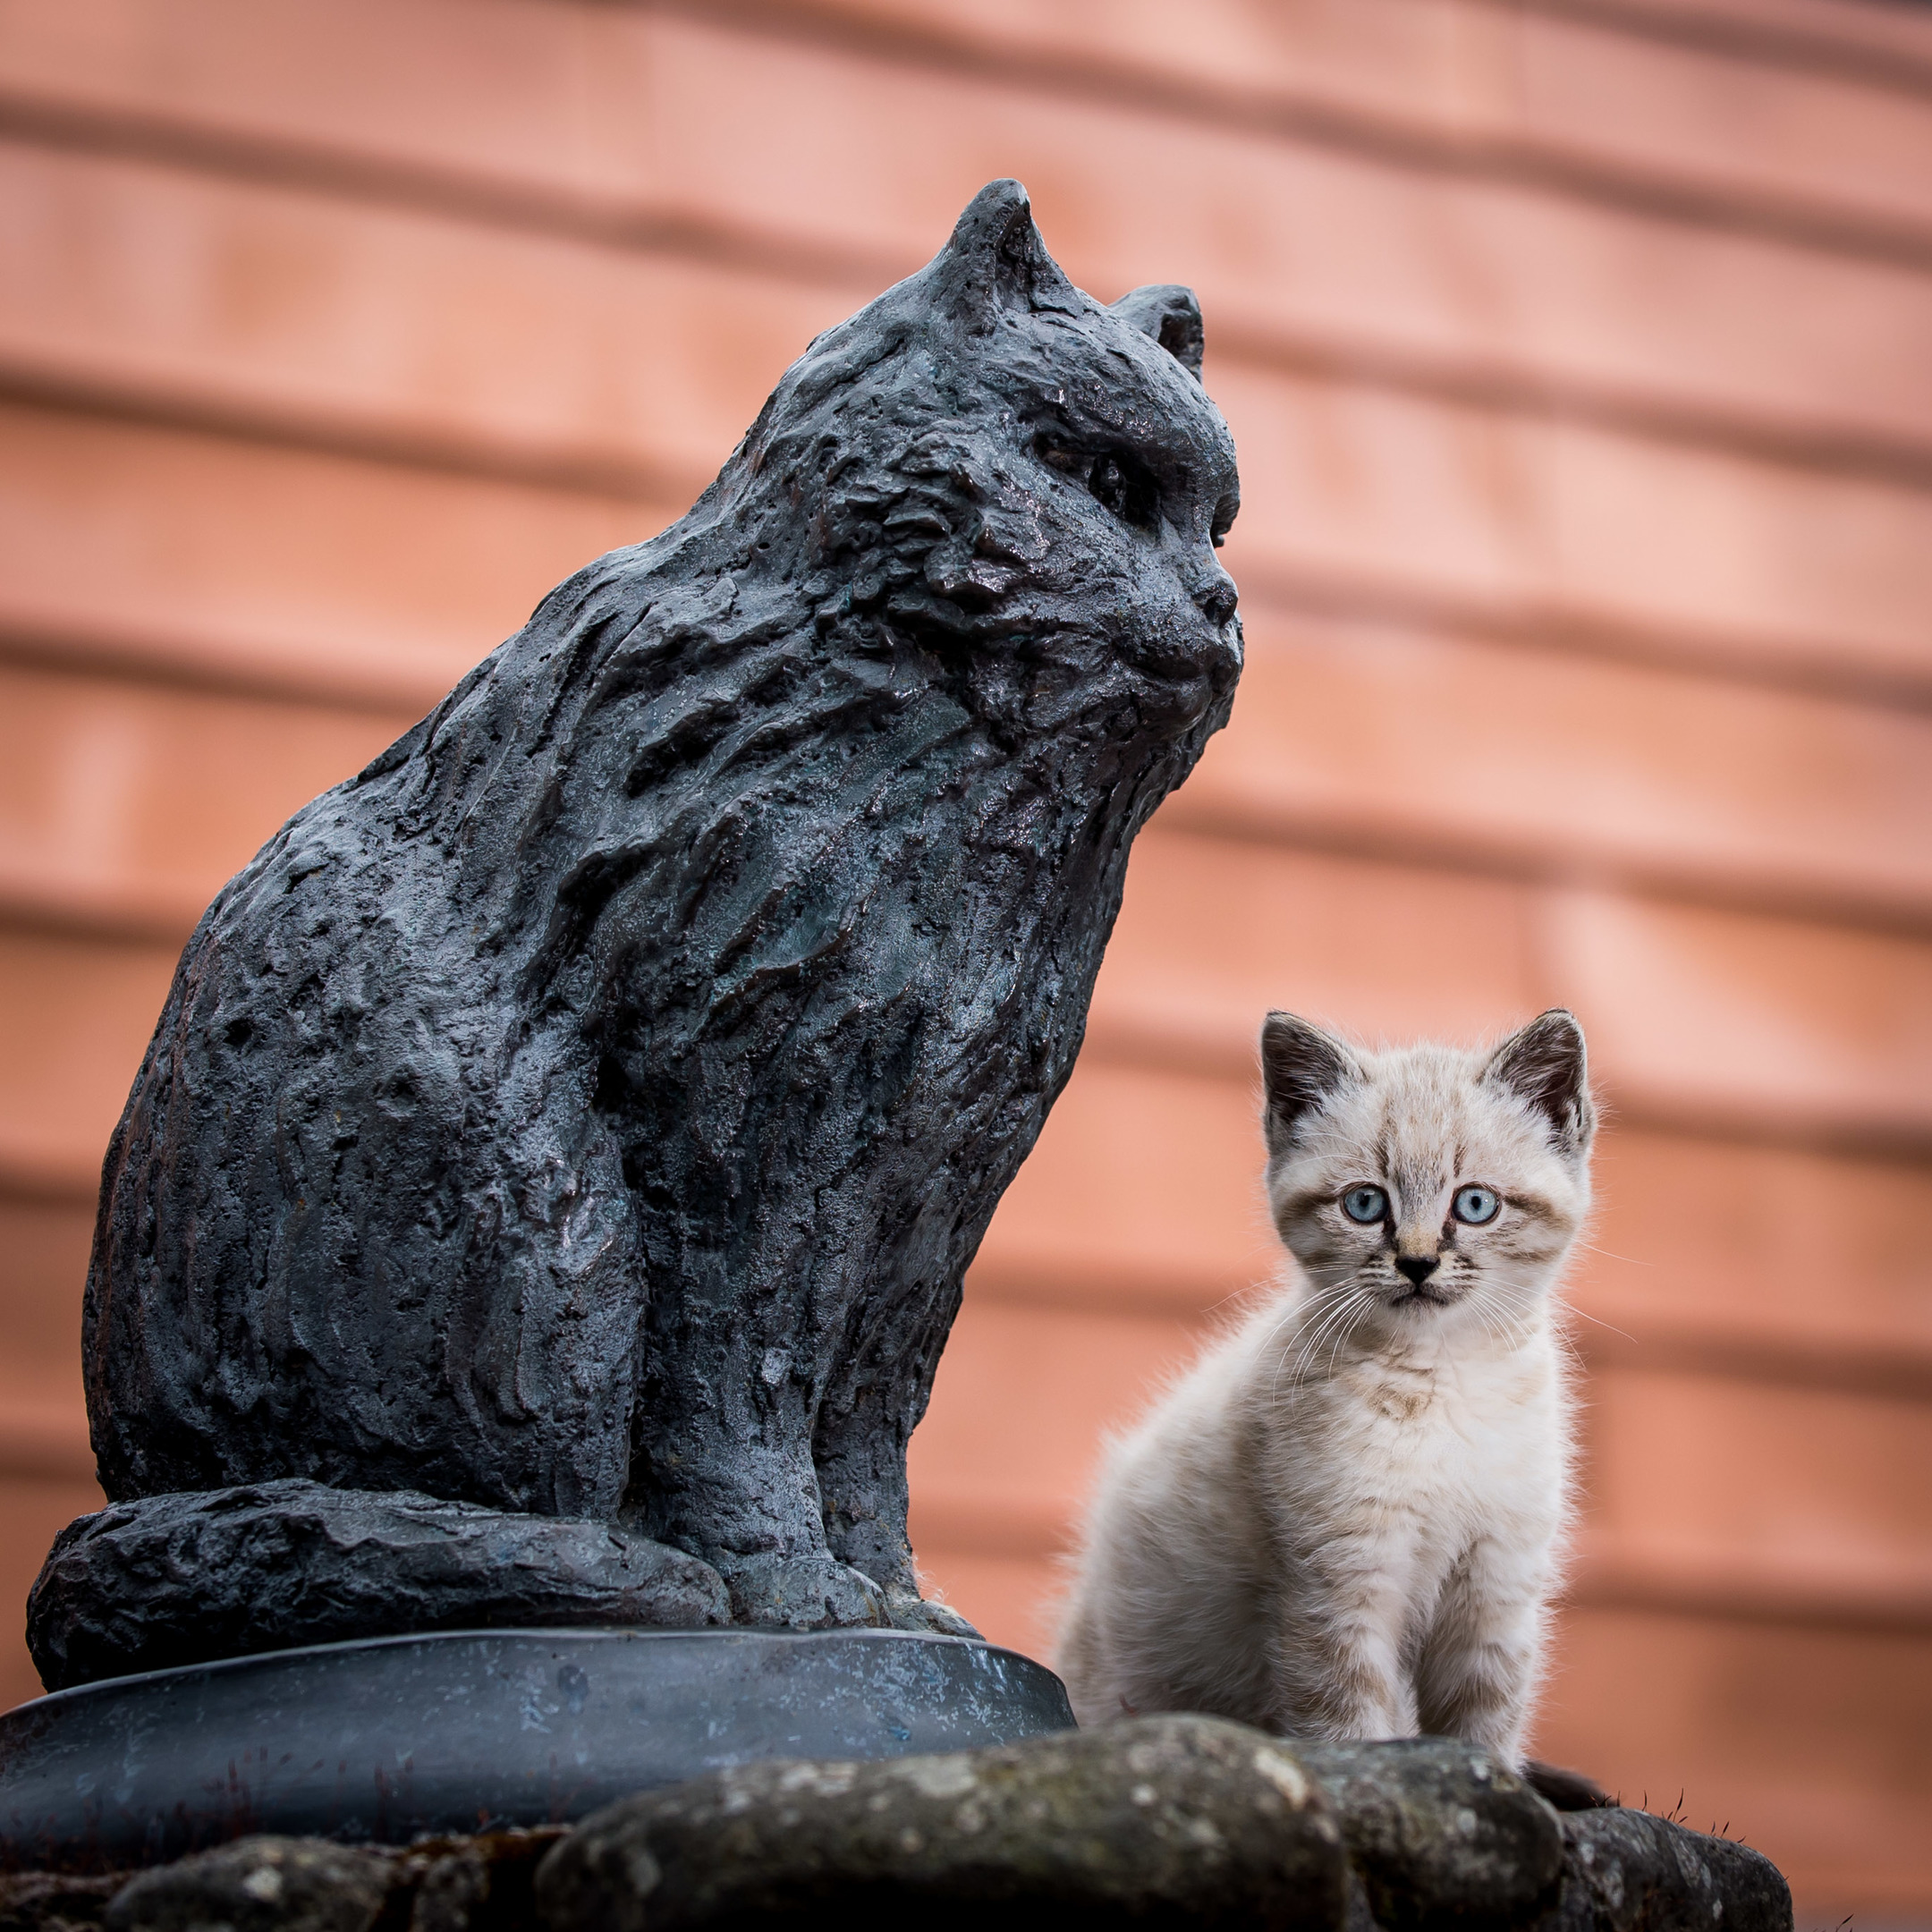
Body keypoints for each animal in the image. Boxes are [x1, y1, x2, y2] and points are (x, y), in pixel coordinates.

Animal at [1066, 1004, 1591, 1769]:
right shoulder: (1336, 1585)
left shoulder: (1495, 1591)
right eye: (1366, 1203)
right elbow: (1347, 1731)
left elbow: (1484, 1733)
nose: (1417, 1263)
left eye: (1475, 1204)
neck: (1438, 1383)